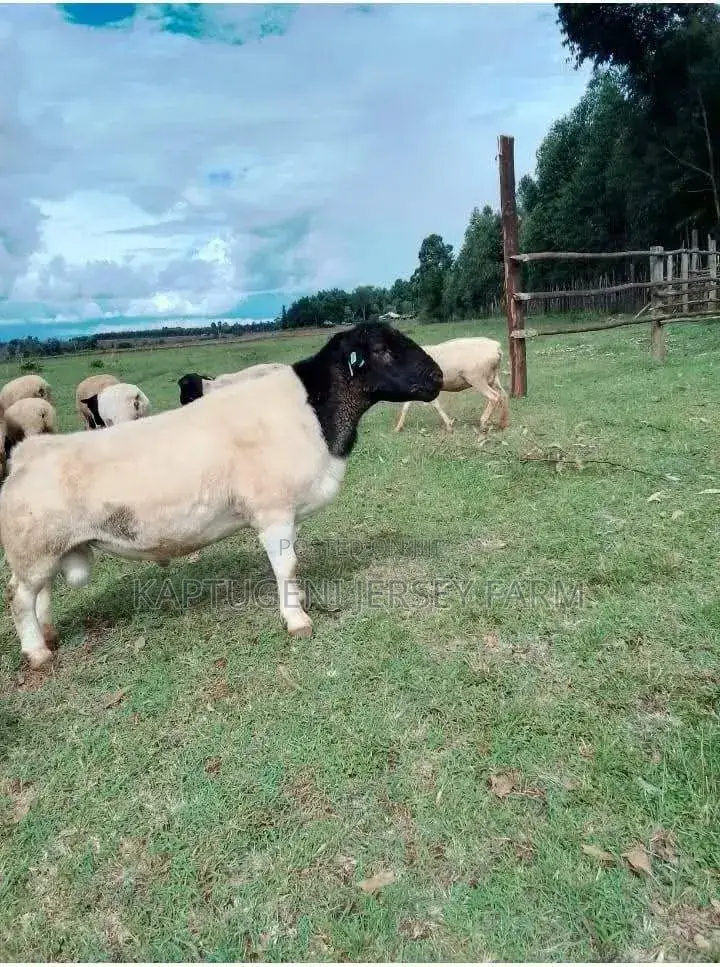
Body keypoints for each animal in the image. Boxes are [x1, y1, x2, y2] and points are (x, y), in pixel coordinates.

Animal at [0, 322, 443, 669]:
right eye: (382, 350)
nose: (438, 377)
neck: (315, 413)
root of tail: (27, 452)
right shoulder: (272, 510)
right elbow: (288, 566)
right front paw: (296, 619)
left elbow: (291, 565)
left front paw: (297, 602)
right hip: (32, 550)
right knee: (20, 599)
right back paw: (37, 652)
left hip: (47, 549)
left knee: (42, 594)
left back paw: (50, 634)